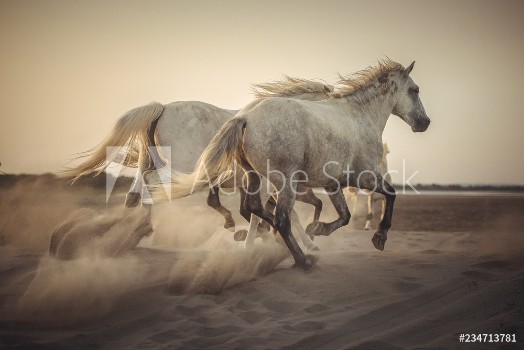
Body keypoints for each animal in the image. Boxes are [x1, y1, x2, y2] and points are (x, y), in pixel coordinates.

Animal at [62, 77, 332, 252]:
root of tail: (162, 109)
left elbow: (264, 212)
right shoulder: (270, 182)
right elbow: (282, 213)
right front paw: (306, 243)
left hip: (153, 162)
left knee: (136, 190)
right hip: (181, 169)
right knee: (150, 184)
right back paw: (141, 230)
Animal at [171, 60, 430, 270]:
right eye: (415, 90)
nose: (424, 122)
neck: (360, 116)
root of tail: (244, 117)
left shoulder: (333, 184)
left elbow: (345, 216)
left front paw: (317, 229)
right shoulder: (363, 176)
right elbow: (391, 194)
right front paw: (379, 237)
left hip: (254, 176)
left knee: (255, 209)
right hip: (285, 182)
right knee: (281, 218)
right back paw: (302, 259)